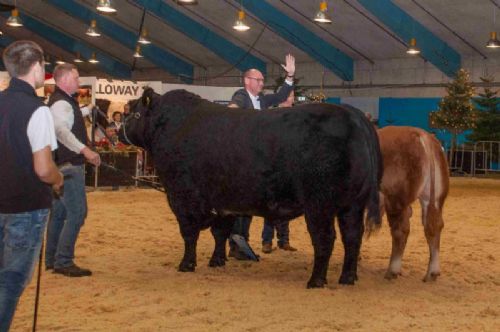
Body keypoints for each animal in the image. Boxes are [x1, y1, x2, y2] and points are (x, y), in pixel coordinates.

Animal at [118, 89, 382, 288]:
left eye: (133, 112)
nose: (116, 131)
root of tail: (353, 114)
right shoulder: (223, 202)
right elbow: (220, 232)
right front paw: (217, 261)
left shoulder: (182, 197)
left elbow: (189, 234)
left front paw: (186, 264)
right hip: (352, 205)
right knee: (352, 237)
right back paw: (347, 277)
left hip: (320, 204)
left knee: (325, 238)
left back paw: (316, 281)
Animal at [378, 126, 450, 282]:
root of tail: (422, 135)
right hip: (434, 197)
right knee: (434, 227)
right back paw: (432, 272)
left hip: (395, 199)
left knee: (401, 231)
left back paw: (392, 270)